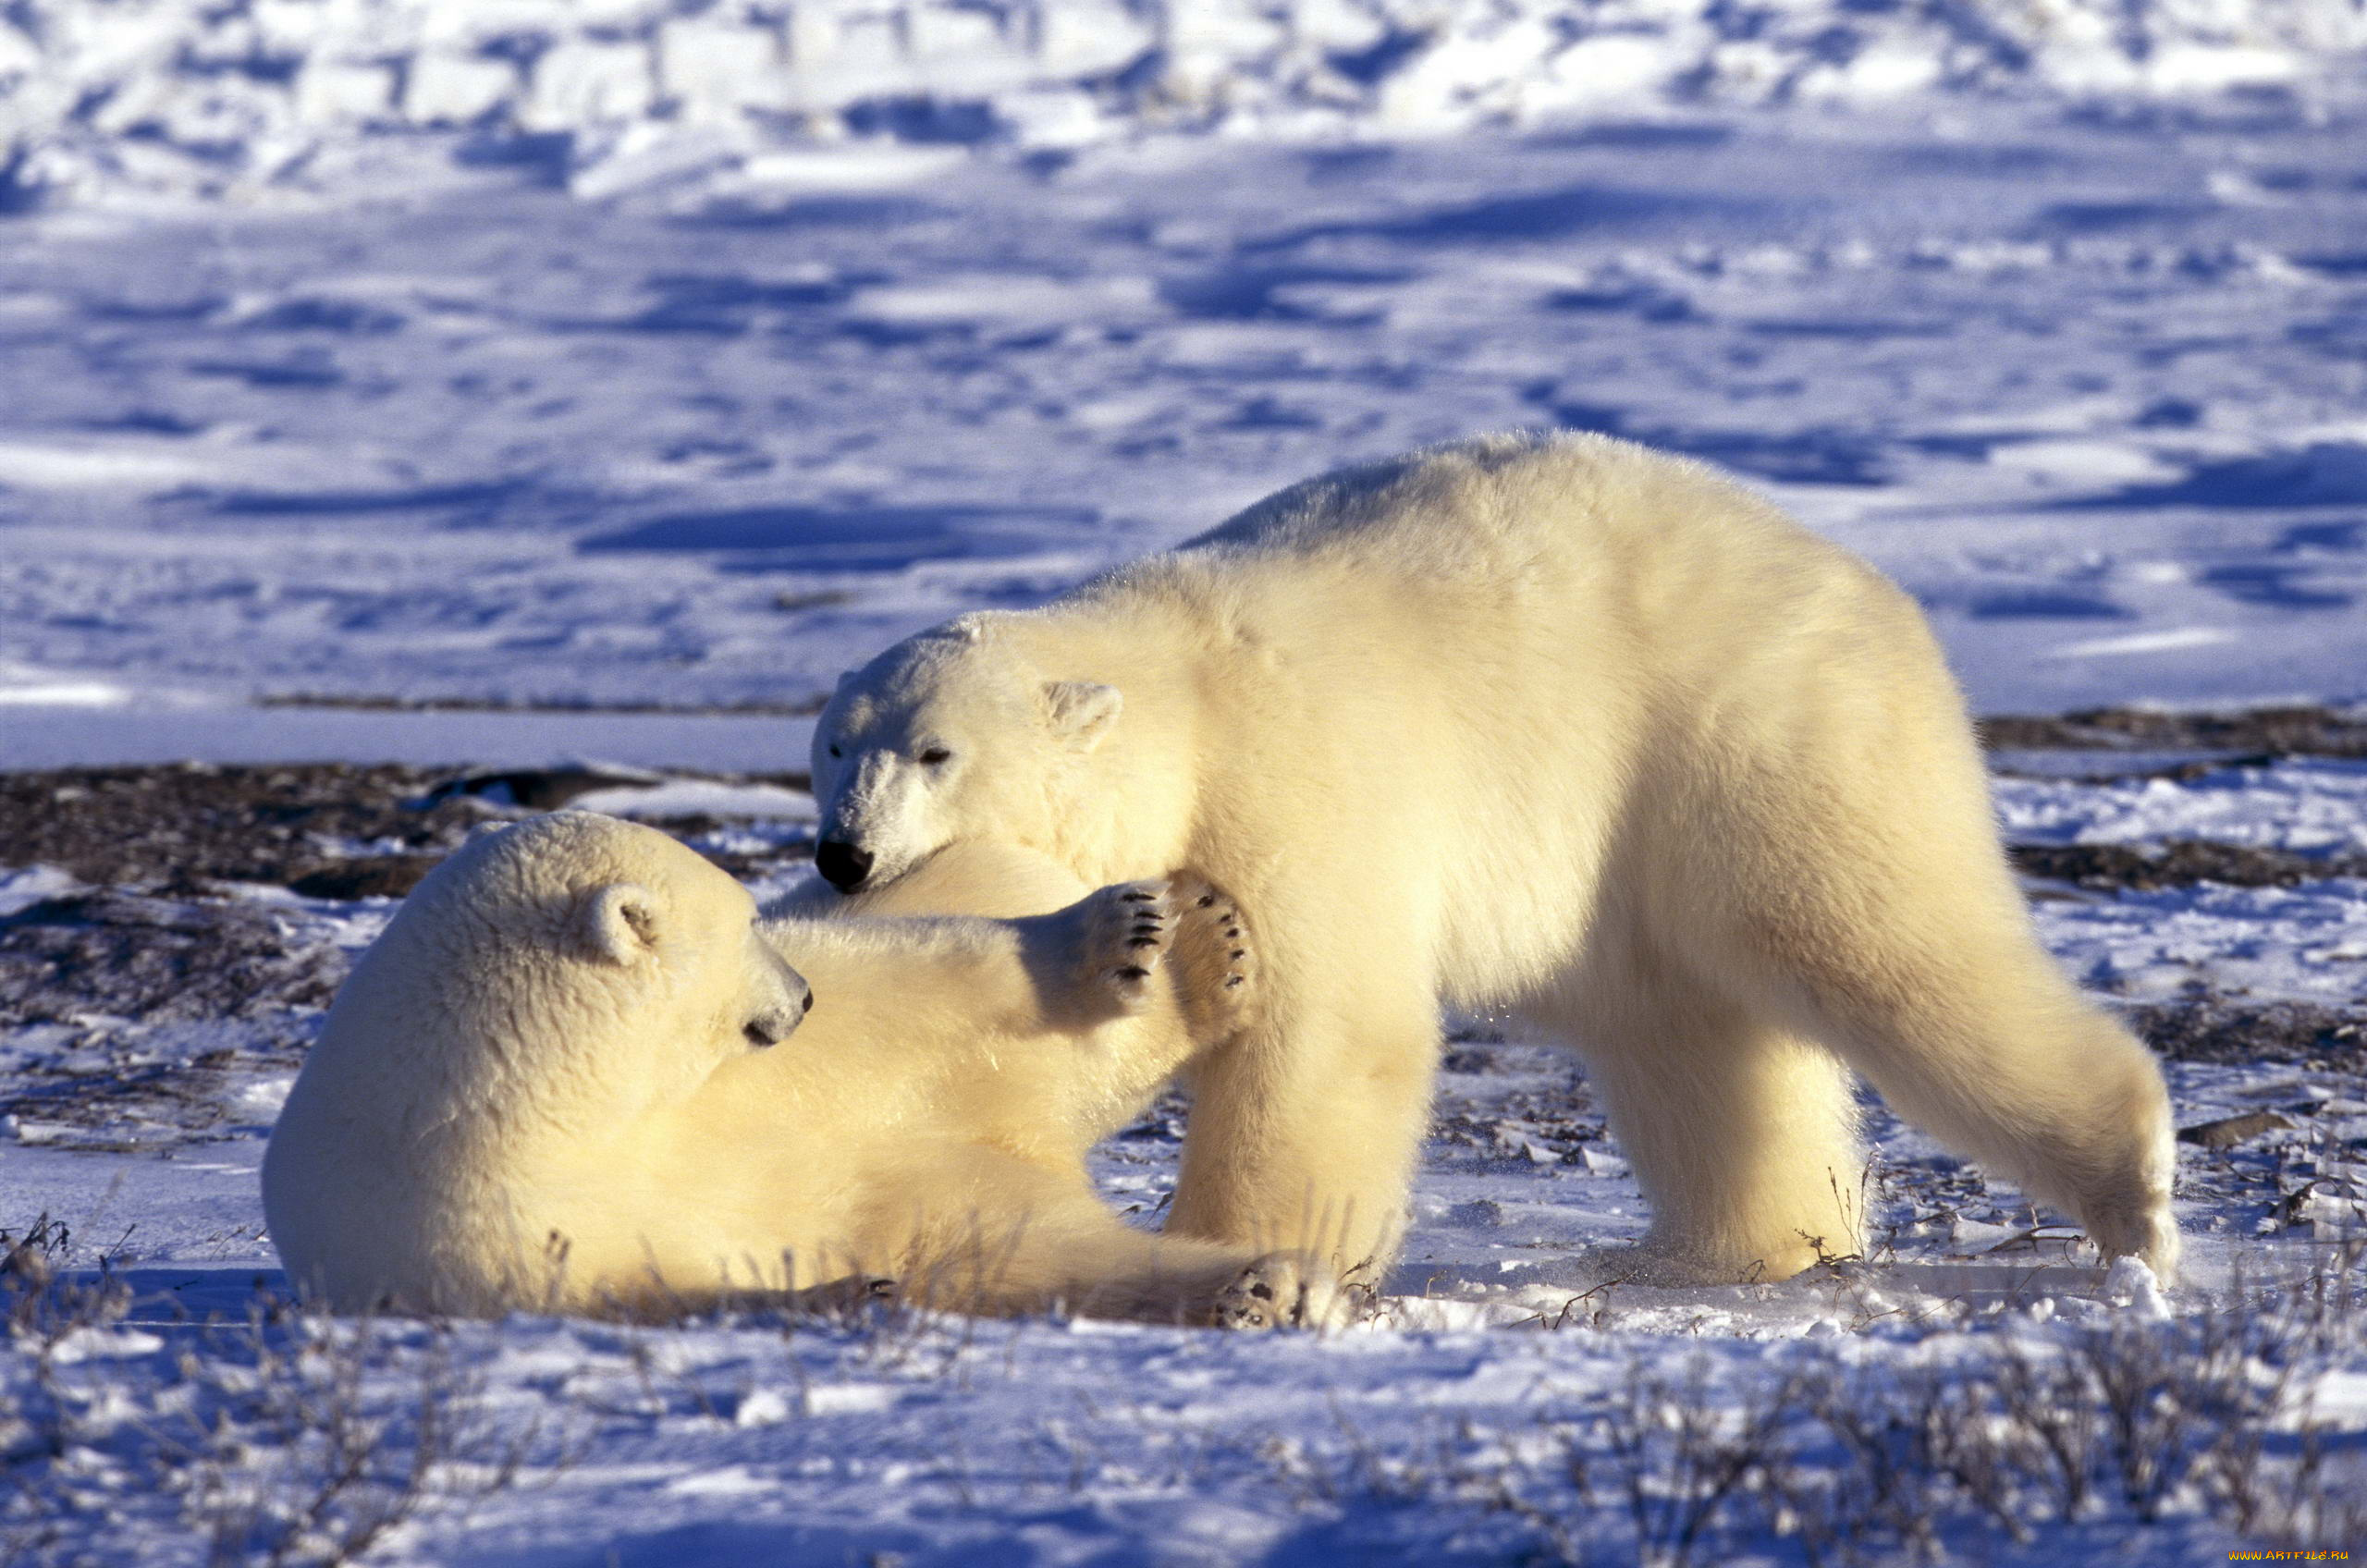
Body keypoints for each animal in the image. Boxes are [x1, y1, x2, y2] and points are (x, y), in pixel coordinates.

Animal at [261, 815, 1354, 1335]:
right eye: (742, 923)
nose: (797, 997)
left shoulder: (750, 1082)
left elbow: (917, 992)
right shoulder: (483, 1229)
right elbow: (648, 1290)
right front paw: (849, 1289)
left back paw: (1187, 943)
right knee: (1054, 1253)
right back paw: (1261, 1284)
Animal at [809, 431, 2177, 1288]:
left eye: (934, 752)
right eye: (829, 747)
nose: (841, 855)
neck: (1180, 693)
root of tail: (1866, 585)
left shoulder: (1296, 786)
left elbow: (1328, 1029)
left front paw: (1243, 1247)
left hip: (1752, 732)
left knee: (1882, 945)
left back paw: (2133, 1190)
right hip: (1638, 858)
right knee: (1695, 1039)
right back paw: (1744, 1245)